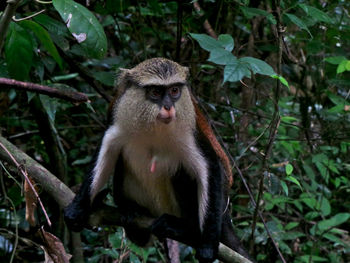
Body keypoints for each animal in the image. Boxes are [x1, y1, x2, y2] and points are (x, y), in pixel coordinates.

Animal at [64, 57, 250, 262]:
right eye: (156, 92)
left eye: (174, 91)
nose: (168, 107)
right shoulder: (117, 119)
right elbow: (106, 151)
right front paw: (77, 208)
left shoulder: (190, 132)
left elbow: (210, 165)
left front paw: (208, 246)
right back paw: (131, 209)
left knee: (183, 171)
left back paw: (186, 229)